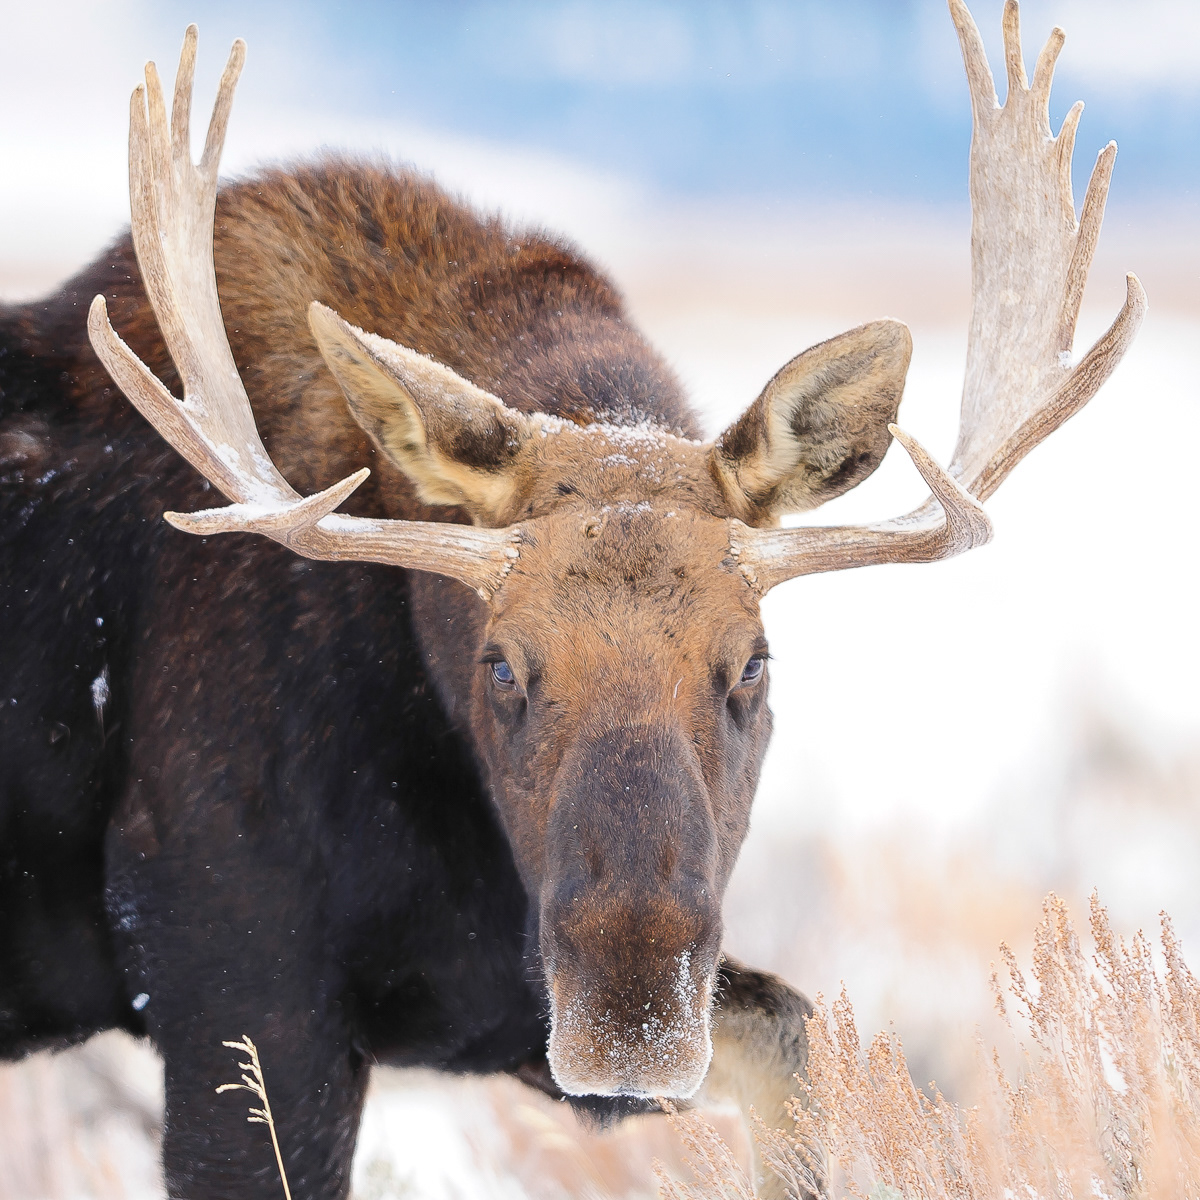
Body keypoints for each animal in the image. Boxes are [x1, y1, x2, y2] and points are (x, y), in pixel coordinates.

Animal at [0, 2, 1143, 1196]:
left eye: (753, 660)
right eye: (500, 663)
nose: (631, 1025)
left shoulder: (489, 981)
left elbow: (795, 1044)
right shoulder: (232, 961)